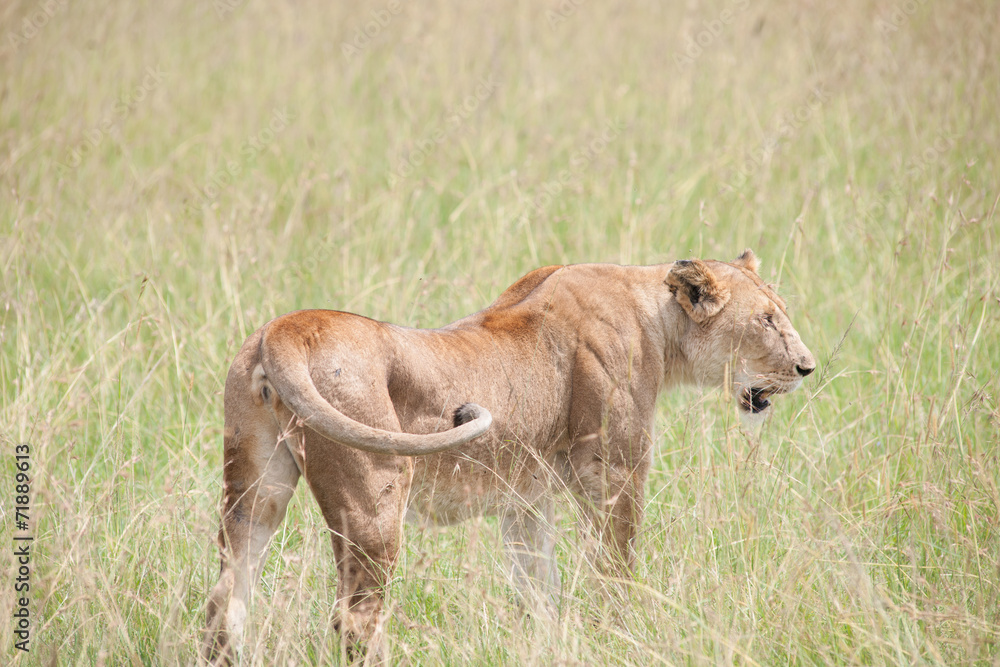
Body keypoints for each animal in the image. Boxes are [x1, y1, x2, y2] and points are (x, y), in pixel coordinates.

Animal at [202, 249, 815, 663]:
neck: (657, 320)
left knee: (224, 600)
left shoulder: (526, 498)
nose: (808, 367)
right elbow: (615, 569)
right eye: (766, 318)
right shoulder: (617, 474)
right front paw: (620, 636)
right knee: (355, 618)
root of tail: (286, 327)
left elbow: (537, 588)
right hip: (374, 495)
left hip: (255, 490)